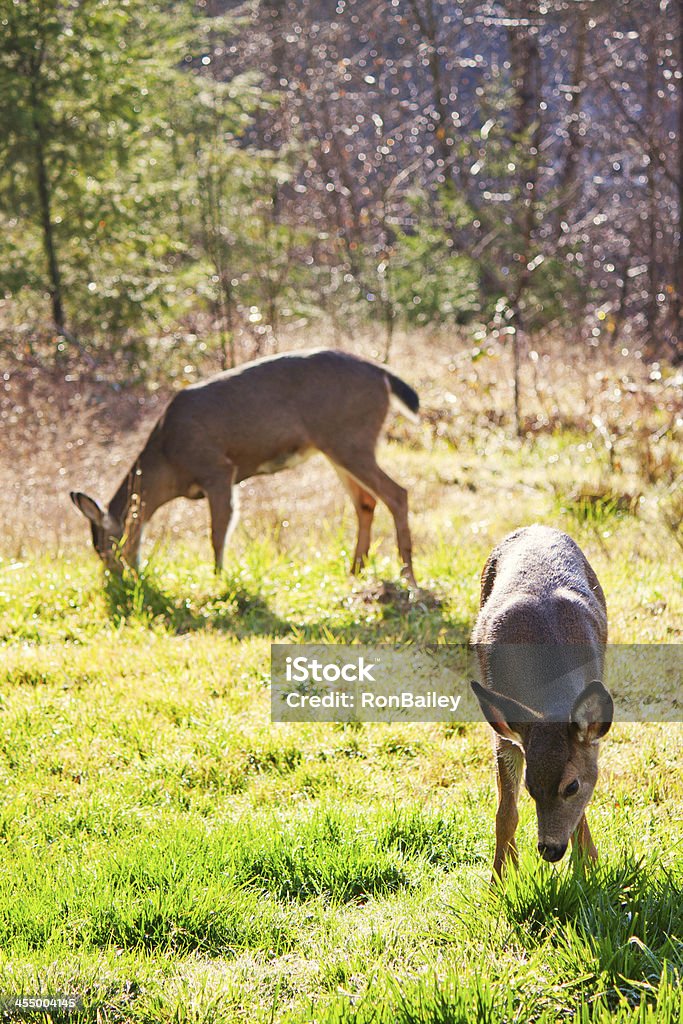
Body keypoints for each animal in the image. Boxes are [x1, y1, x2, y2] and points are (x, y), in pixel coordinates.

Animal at [72, 348, 419, 585]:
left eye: (107, 547)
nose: (117, 580)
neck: (168, 460)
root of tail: (384, 375)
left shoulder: (217, 469)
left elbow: (218, 533)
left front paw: (218, 580)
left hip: (350, 439)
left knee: (397, 494)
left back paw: (409, 578)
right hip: (338, 446)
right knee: (366, 501)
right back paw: (356, 570)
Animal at [471, 524, 614, 876]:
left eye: (571, 786)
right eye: (531, 787)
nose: (549, 850)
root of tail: (535, 527)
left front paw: (587, 866)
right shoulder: (506, 729)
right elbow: (506, 812)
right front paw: (501, 877)